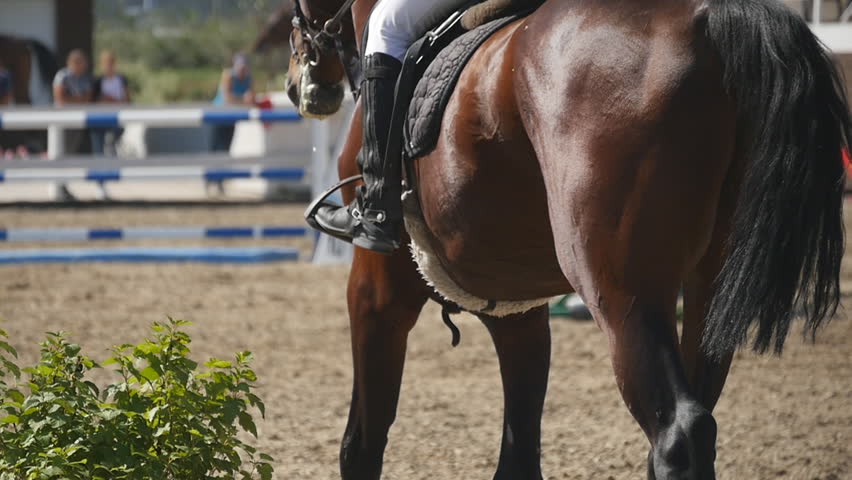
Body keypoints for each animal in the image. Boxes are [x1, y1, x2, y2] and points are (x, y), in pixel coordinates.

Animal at [286, 0, 852, 478]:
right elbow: (518, 452)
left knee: (679, 432)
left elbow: (362, 442)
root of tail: (708, 20)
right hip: (710, 291)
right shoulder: (514, 304)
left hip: (621, 292)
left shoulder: (379, 288)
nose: (300, 85)